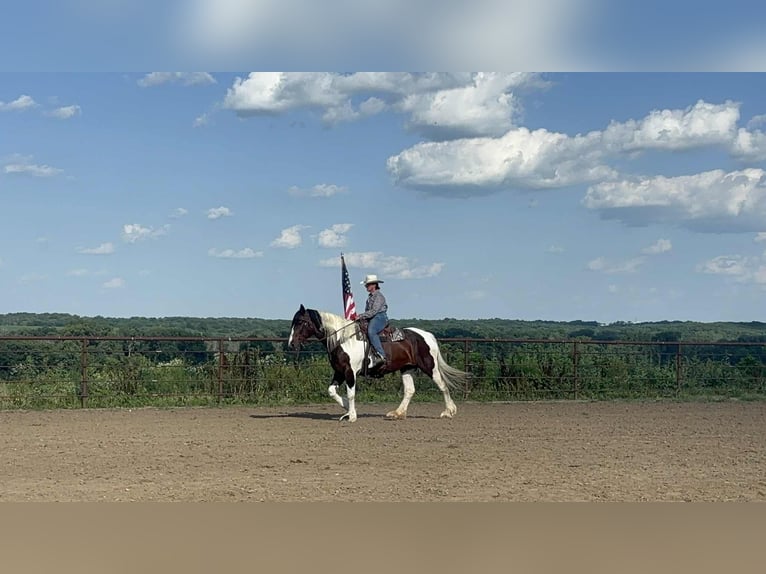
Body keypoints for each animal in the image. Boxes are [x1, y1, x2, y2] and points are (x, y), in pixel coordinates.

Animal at [287, 304, 467, 422]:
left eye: (301, 322)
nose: (291, 344)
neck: (343, 339)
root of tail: (426, 335)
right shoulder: (339, 371)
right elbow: (332, 391)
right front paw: (347, 409)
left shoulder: (350, 372)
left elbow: (351, 393)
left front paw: (352, 416)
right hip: (407, 368)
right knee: (410, 390)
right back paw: (397, 413)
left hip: (430, 367)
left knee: (442, 385)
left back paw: (448, 412)